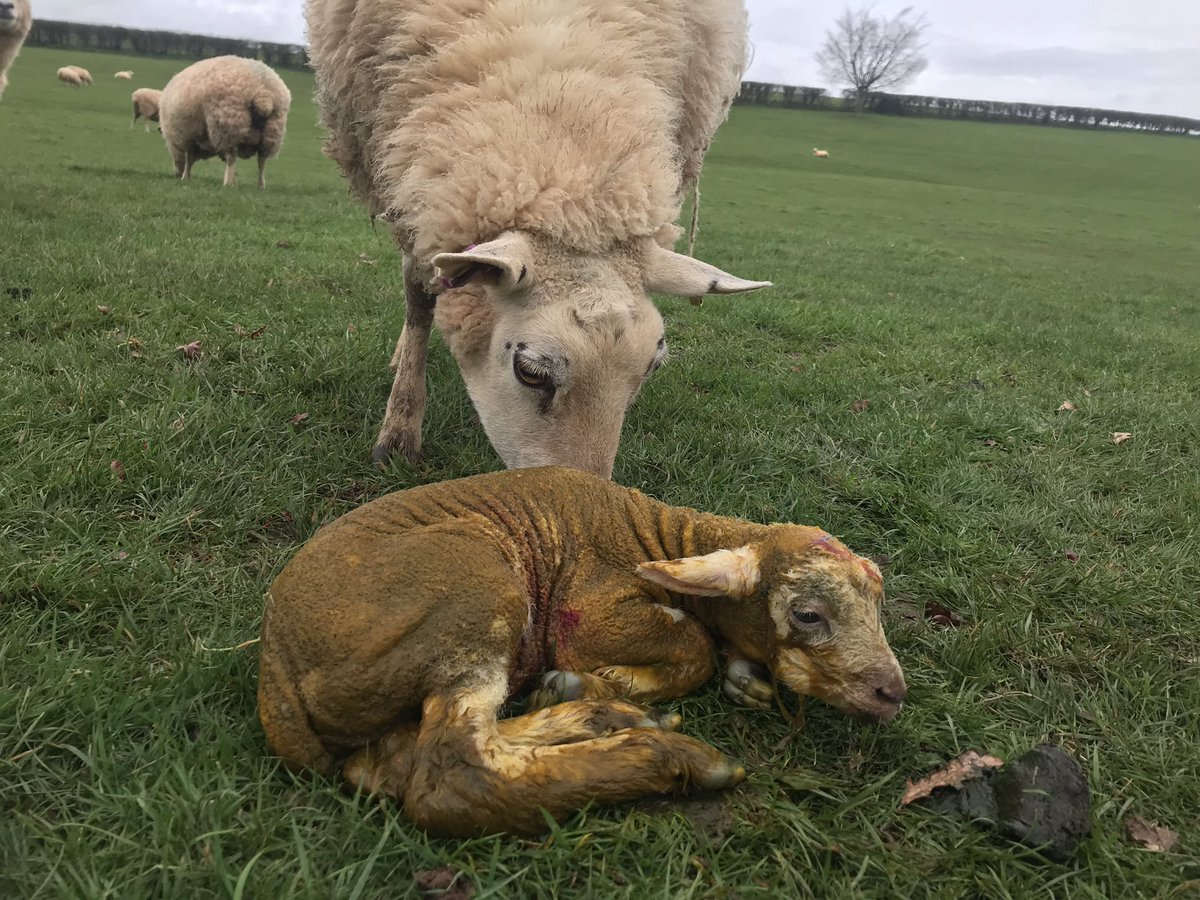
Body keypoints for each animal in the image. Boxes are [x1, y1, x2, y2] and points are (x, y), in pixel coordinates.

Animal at [158, 55, 291, 189]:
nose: (176, 173)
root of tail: (263, 94)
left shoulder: (187, 137)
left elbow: (188, 159)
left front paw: (185, 177)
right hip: (272, 132)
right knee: (262, 160)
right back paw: (260, 186)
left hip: (229, 126)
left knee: (232, 156)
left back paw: (227, 183)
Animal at [258, 466, 907, 837]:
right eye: (807, 614)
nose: (891, 692)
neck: (660, 536)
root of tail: (276, 671)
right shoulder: (588, 612)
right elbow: (693, 644)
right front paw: (617, 678)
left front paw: (743, 675)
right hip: (475, 594)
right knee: (452, 777)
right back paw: (662, 751)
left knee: (394, 762)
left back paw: (595, 714)